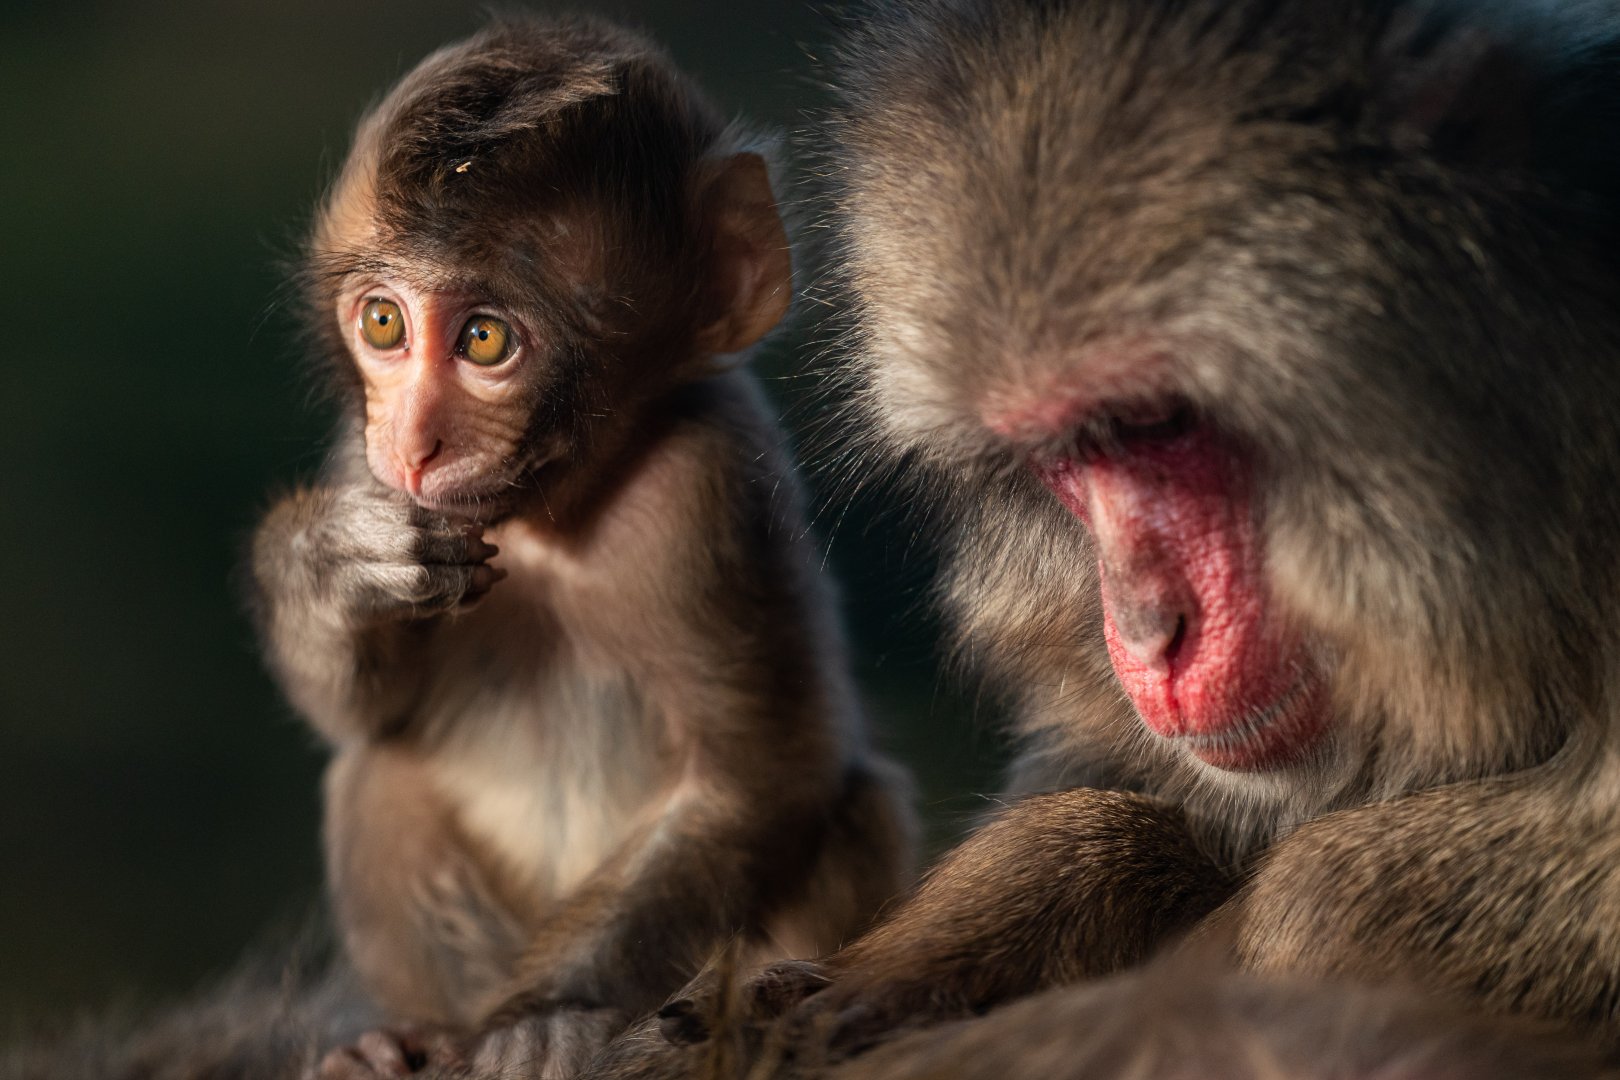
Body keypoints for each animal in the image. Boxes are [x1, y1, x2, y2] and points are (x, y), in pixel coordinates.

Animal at [247, 16, 914, 1076]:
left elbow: (757, 775)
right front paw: (331, 570)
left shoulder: (709, 484)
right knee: (375, 776)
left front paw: (546, 1015)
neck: (549, 524)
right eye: (384, 323)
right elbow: (361, 714)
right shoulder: (363, 464)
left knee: (852, 804)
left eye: (484, 341)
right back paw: (405, 1040)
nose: (414, 442)